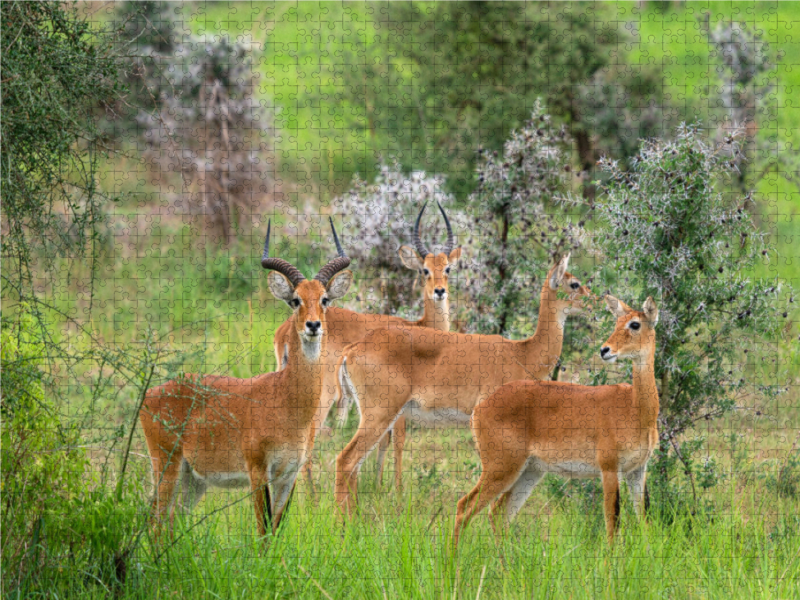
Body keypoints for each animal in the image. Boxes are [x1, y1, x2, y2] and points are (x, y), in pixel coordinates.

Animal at [141, 218, 354, 536]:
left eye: (325, 299)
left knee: (170, 522)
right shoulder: (258, 471)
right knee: (154, 523)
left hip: (193, 480)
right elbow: (263, 529)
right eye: (295, 300)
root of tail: (151, 394)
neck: (287, 402)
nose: (313, 325)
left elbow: (276, 530)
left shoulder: (288, 475)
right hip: (167, 466)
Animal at [270, 202, 462, 492]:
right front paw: (396, 490)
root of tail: (285, 331)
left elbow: (383, 442)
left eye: (448, 268)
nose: (439, 291)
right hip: (325, 394)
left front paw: (379, 484)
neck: (421, 325)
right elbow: (398, 441)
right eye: (424, 270)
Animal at [334, 255, 592, 512]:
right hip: (380, 414)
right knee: (346, 460)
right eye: (574, 283)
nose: (593, 303)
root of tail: (352, 349)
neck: (523, 353)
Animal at [454, 296, 660, 544]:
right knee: (464, 507)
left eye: (635, 324)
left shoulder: (637, 471)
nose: (605, 350)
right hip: (501, 467)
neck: (636, 409)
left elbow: (645, 521)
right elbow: (613, 523)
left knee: (499, 514)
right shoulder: (610, 468)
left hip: (530, 471)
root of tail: (480, 407)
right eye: (617, 321)